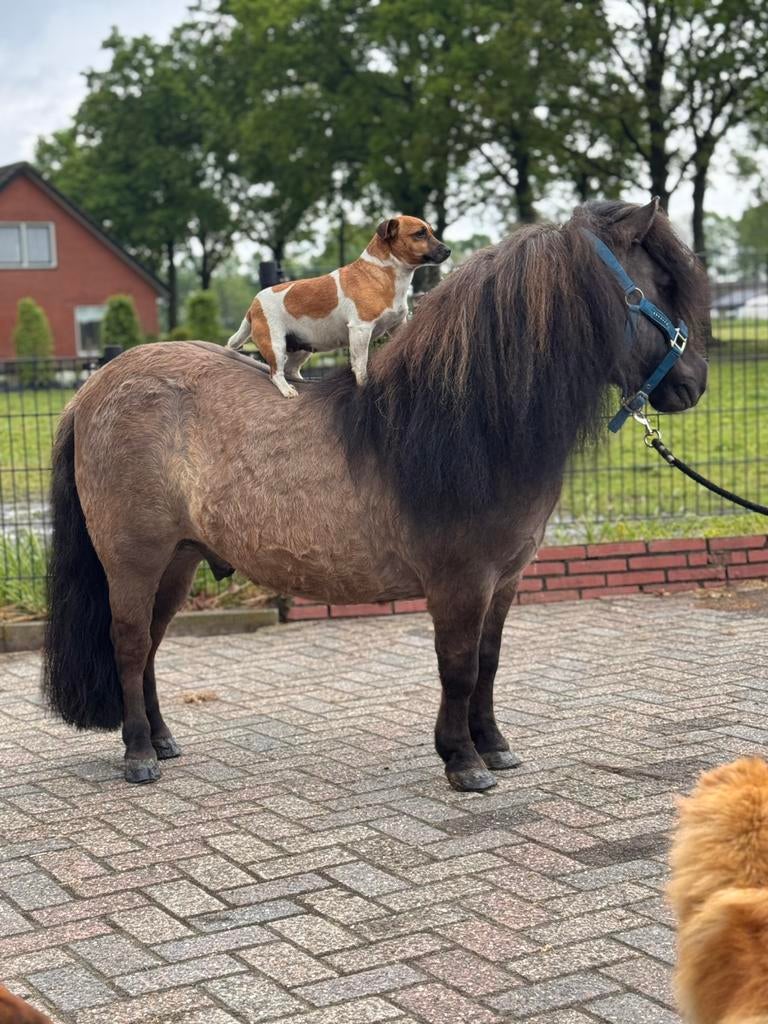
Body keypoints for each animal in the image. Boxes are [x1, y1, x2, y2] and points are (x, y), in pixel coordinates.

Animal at [42, 199, 709, 792]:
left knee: (152, 647)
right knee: (129, 643)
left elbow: (489, 662)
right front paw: (463, 761)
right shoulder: (460, 583)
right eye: (658, 286)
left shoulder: (505, 581)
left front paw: (494, 747)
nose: (694, 384)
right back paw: (138, 755)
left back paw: (161, 740)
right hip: (134, 560)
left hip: (178, 561)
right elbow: (459, 667)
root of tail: (92, 388)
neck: (465, 421)